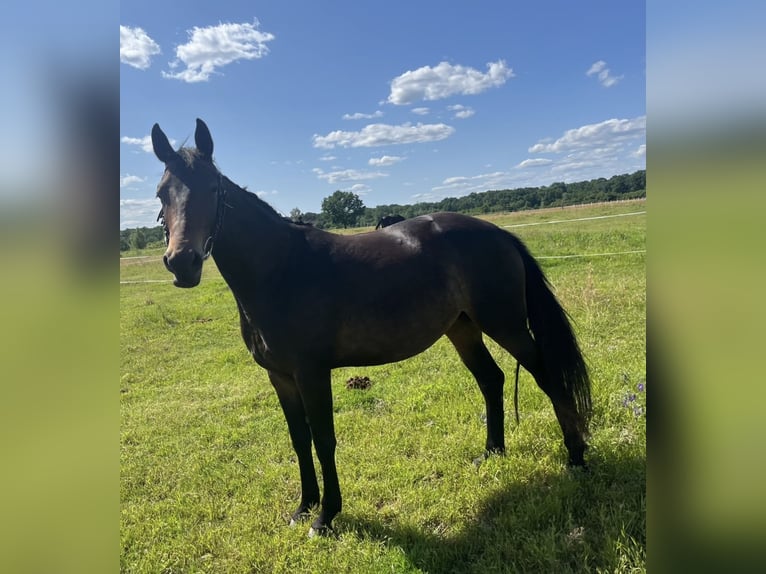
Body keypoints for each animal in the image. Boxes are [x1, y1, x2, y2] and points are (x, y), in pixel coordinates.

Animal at [151, 118, 592, 536]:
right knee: (491, 379)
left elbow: (324, 439)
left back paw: (576, 458)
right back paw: (492, 453)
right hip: (462, 329)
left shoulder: (312, 373)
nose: (182, 262)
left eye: (212, 188)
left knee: (547, 377)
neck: (280, 270)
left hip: (507, 325)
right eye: (161, 193)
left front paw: (325, 517)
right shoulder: (280, 376)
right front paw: (303, 507)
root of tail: (499, 233)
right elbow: (299, 439)